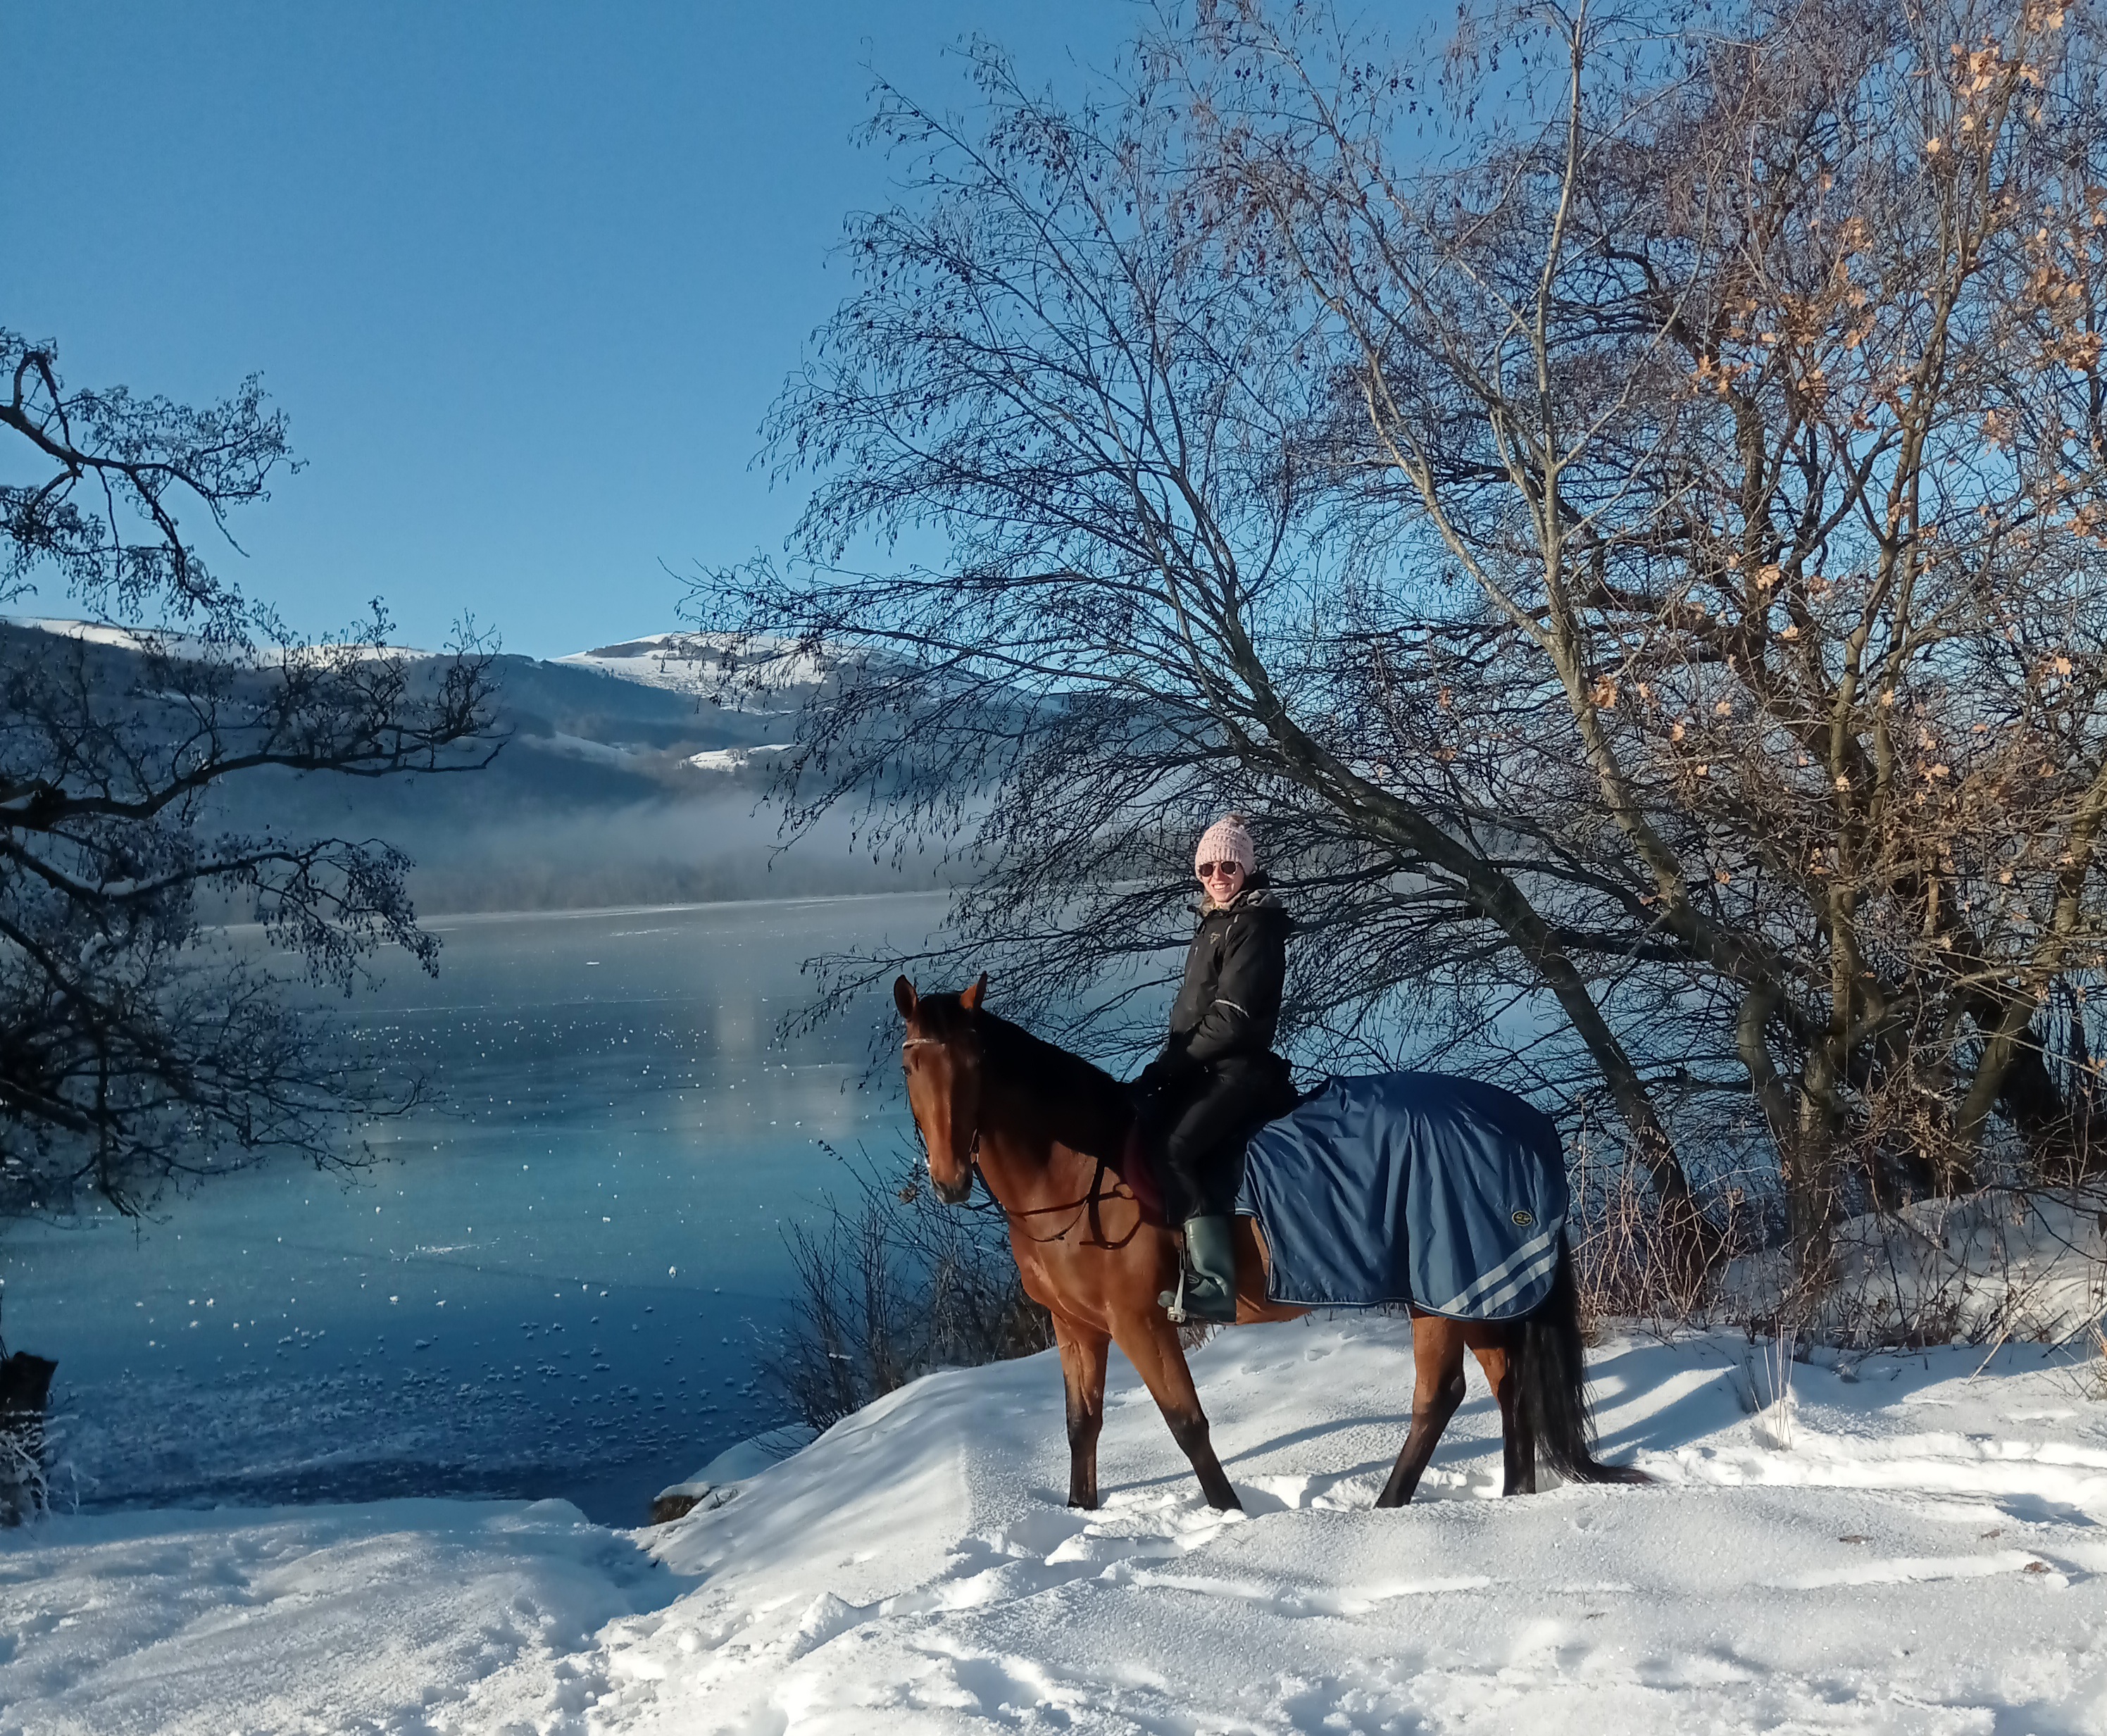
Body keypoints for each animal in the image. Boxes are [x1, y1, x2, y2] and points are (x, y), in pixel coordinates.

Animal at [894, 973, 1648, 1513]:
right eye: (911, 1067)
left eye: (977, 1061)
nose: (950, 1179)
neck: (1084, 1171)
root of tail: (1531, 1128)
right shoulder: (1076, 1326)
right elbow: (1083, 1425)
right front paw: (1081, 1519)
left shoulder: (1140, 1321)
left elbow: (1186, 1423)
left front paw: (1231, 1518)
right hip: (1475, 1288)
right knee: (1506, 1382)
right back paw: (1512, 1498)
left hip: (1443, 1286)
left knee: (1439, 1395)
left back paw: (1389, 1507)